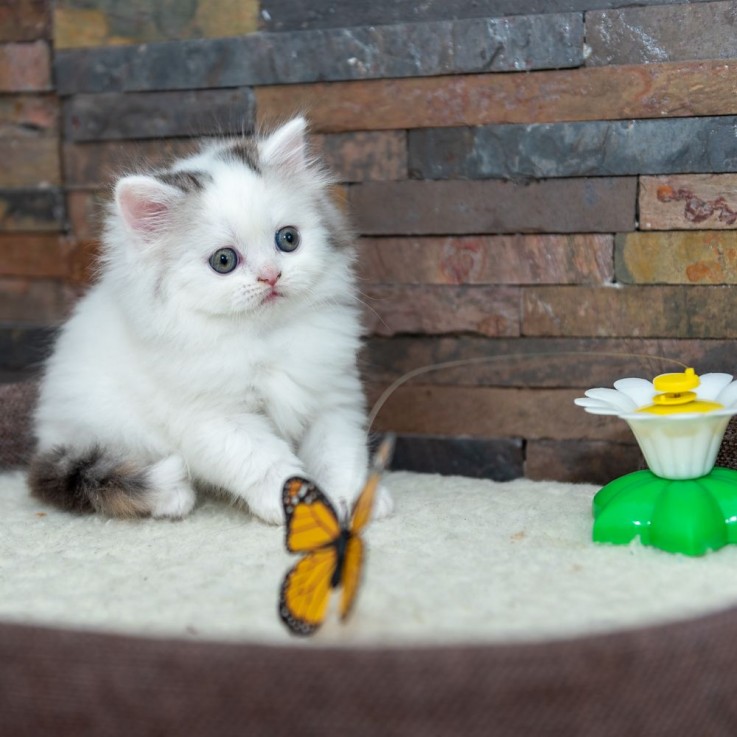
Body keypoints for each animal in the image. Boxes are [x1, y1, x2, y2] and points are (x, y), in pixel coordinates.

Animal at [30, 118, 392, 524]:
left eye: (288, 239)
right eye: (224, 261)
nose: (271, 276)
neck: (264, 336)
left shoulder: (333, 400)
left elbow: (340, 457)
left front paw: (353, 502)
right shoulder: (215, 421)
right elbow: (269, 465)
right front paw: (299, 512)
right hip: (105, 433)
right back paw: (173, 498)